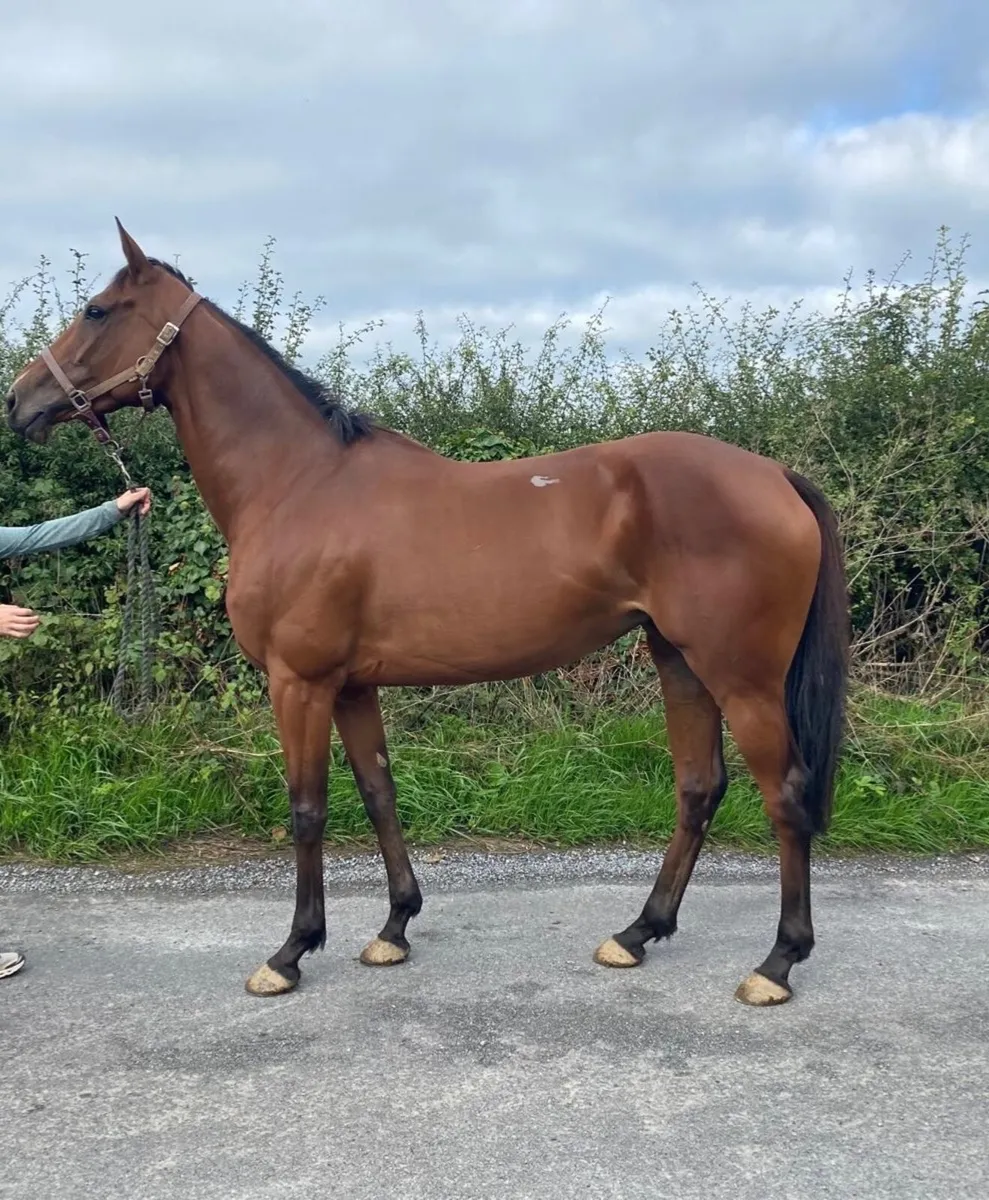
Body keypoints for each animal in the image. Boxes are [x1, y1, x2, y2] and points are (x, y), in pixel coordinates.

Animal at [6, 221, 849, 1006]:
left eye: (96, 309)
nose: (19, 401)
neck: (297, 483)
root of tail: (773, 474)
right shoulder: (351, 685)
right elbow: (378, 793)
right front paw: (393, 928)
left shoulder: (298, 681)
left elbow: (308, 809)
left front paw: (291, 952)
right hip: (678, 660)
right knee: (698, 787)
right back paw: (637, 932)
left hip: (741, 678)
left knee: (785, 795)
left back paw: (776, 962)